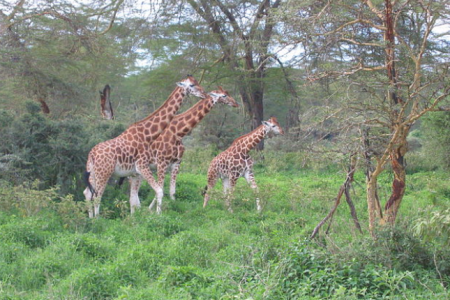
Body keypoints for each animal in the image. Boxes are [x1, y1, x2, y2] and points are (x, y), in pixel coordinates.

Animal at [82, 74, 206, 216]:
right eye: (192, 85)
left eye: (197, 82)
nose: (204, 93)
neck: (147, 135)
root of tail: (92, 154)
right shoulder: (143, 166)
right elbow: (159, 191)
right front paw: (158, 215)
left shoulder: (136, 172)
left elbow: (135, 199)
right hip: (104, 173)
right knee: (97, 196)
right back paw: (98, 219)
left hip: (93, 173)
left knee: (88, 193)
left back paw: (91, 218)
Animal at [139, 85, 239, 214]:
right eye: (224, 95)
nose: (236, 103)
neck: (178, 133)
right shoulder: (162, 162)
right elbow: (160, 189)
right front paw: (157, 213)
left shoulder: (176, 163)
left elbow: (172, 191)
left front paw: (168, 208)